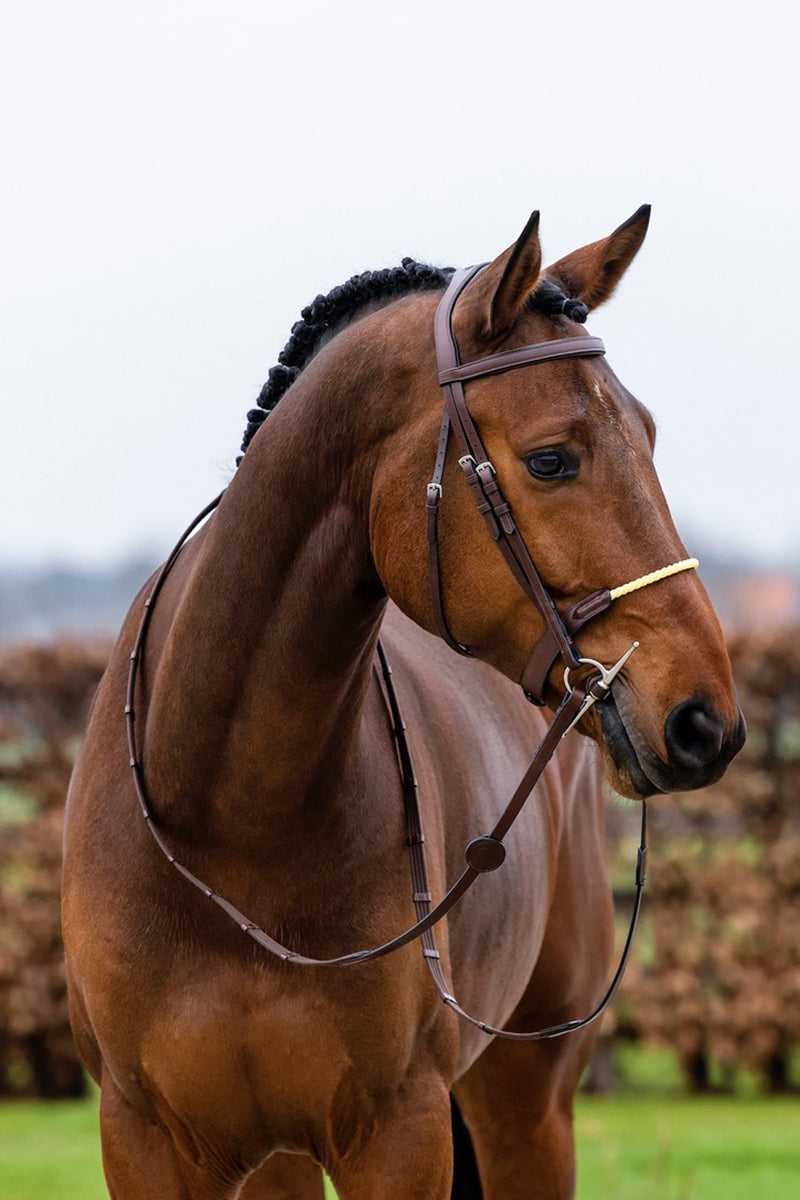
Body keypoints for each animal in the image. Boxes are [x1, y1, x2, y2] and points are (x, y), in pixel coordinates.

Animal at [61, 208, 743, 1200]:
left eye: (649, 436)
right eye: (551, 460)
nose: (704, 722)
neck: (232, 825)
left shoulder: (400, 1134)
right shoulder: (147, 1140)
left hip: (528, 1101)